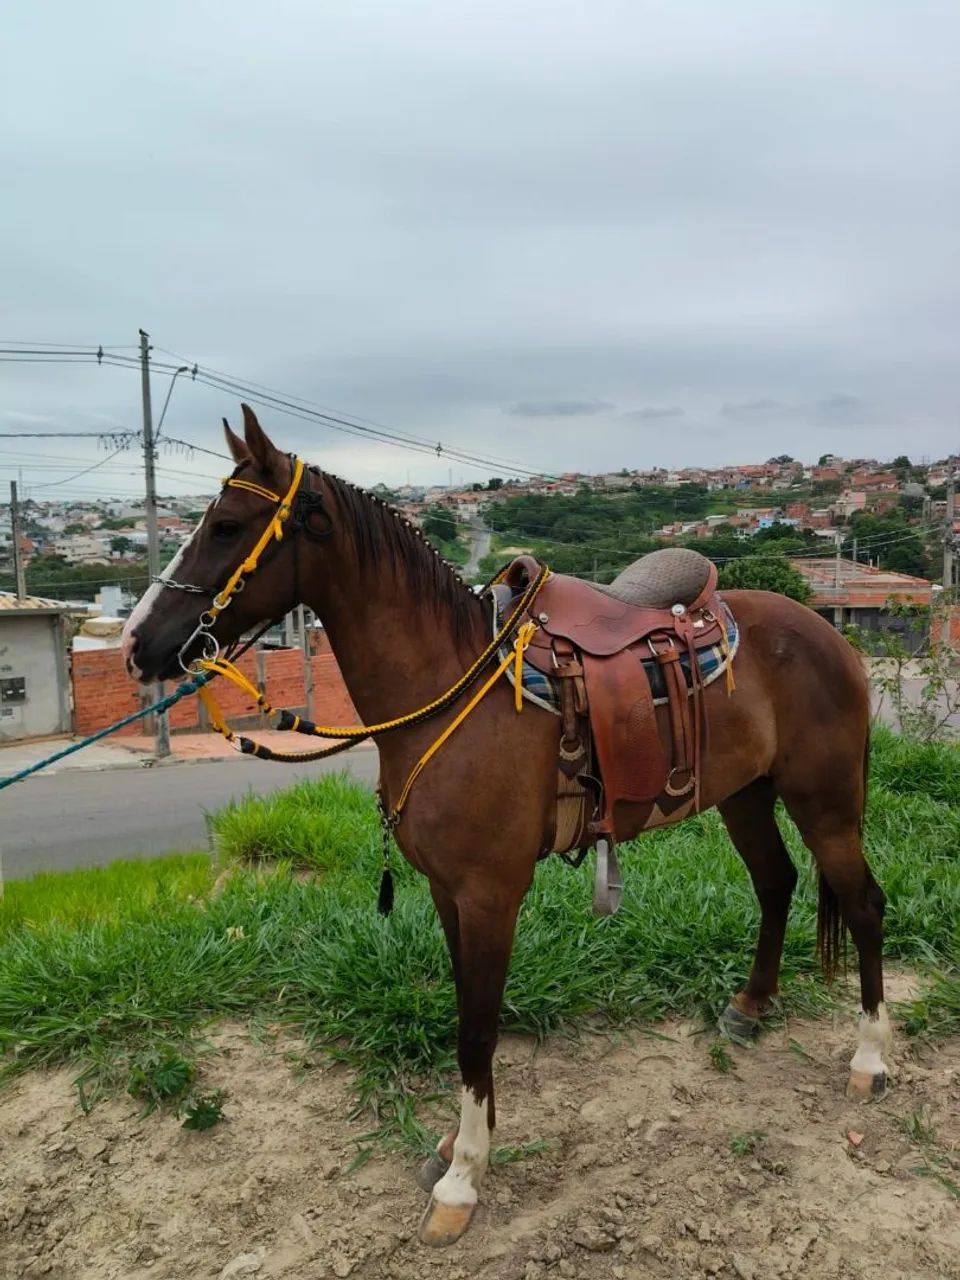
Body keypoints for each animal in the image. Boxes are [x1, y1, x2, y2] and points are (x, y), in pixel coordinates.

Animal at [122, 405, 890, 1248]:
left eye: (227, 526)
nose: (137, 644)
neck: (450, 691)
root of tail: (831, 634)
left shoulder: (490, 897)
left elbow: (476, 1031)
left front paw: (463, 1179)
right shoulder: (448, 895)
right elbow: (467, 1020)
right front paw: (461, 1142)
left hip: (825, 804)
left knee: (863, 905)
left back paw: (870, 1060)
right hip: (745, 796)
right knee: (778, 883)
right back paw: (750, 1009)